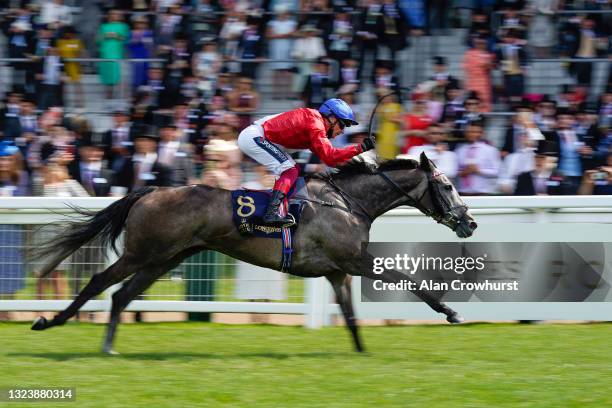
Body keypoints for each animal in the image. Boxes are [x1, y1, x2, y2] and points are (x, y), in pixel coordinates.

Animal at [31, 153, 476, 354]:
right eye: (448, 186)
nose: (469, 222)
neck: (348, 202)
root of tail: (150, 190)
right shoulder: (354, 261)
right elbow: (406, 279)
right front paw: (451, 312)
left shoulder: (337, 271)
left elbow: (350, 315)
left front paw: (362, 353)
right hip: (144, 253)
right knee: (99, 282)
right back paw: (49, 321)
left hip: (166, 258)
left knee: (122, 294)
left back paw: (108, 343)